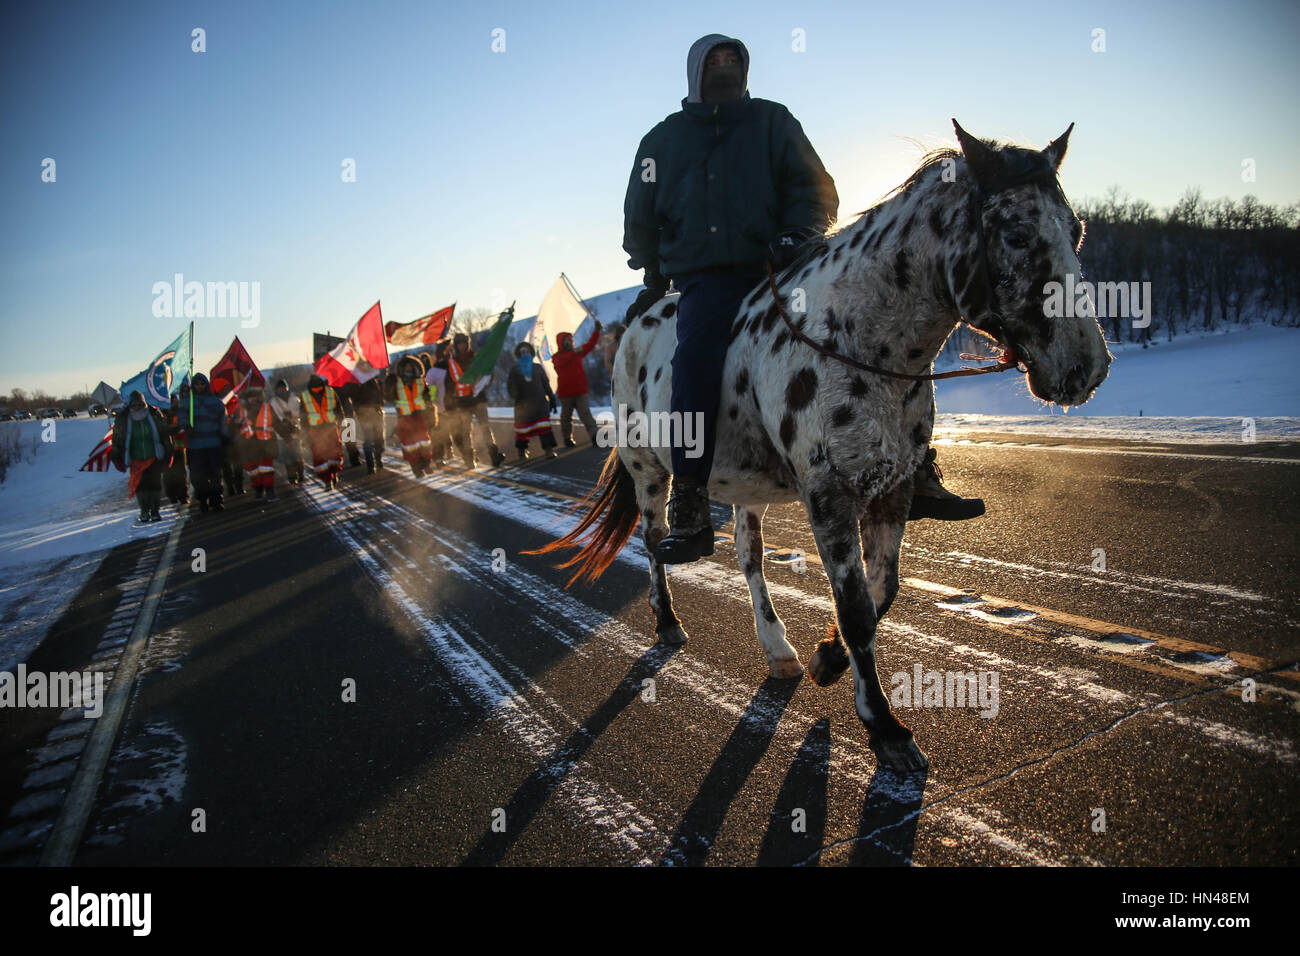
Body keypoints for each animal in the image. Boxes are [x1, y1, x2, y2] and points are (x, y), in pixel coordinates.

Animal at [533, 123, 1112, 775]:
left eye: (1076, 230)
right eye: (1015, 234)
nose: (1085, 367)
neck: (858, 338)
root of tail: (633, 324)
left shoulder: (891, 489)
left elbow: (882, 591)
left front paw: (827, 660)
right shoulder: (829, 496)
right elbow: (856, 606)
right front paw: (884, 725)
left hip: (748, 488)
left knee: (749, 559)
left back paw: (776, 646)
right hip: (649, 471)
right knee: (655, 543)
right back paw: (668, 621)